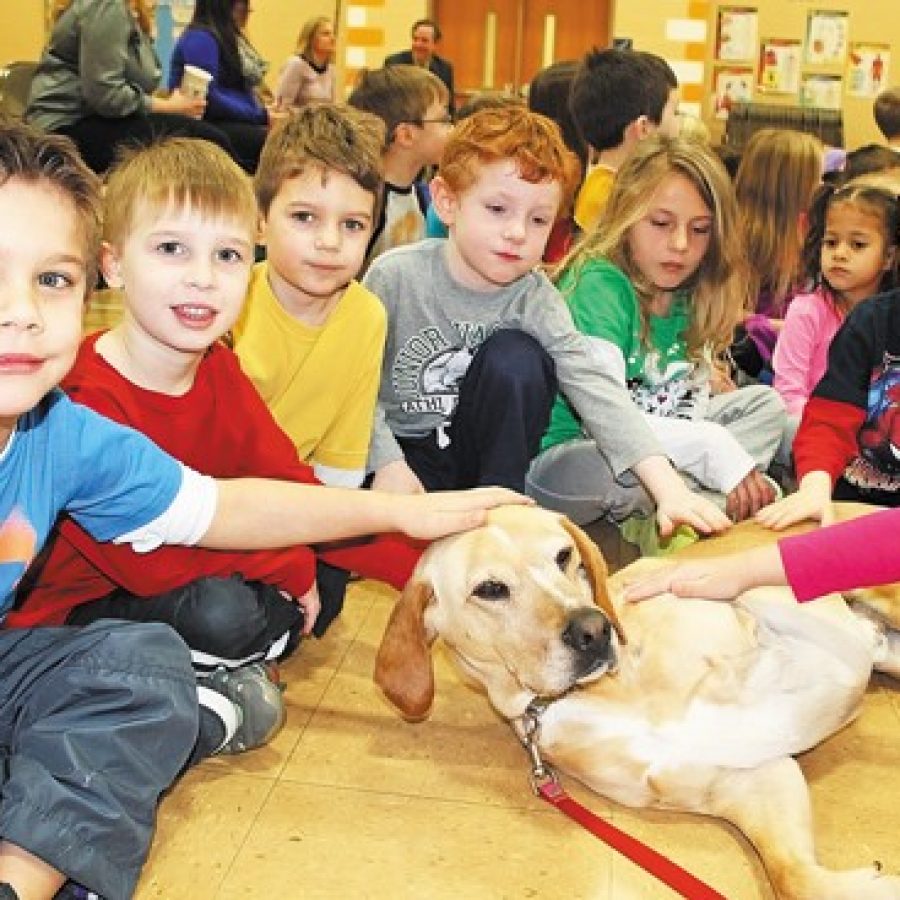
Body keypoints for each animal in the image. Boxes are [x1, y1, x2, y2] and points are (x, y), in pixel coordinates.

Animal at [376, 506, 900, 900]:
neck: (609, 693)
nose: (594, 629)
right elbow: (794, 877)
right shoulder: (751, 778)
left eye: (564, 555)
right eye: (489, 589)